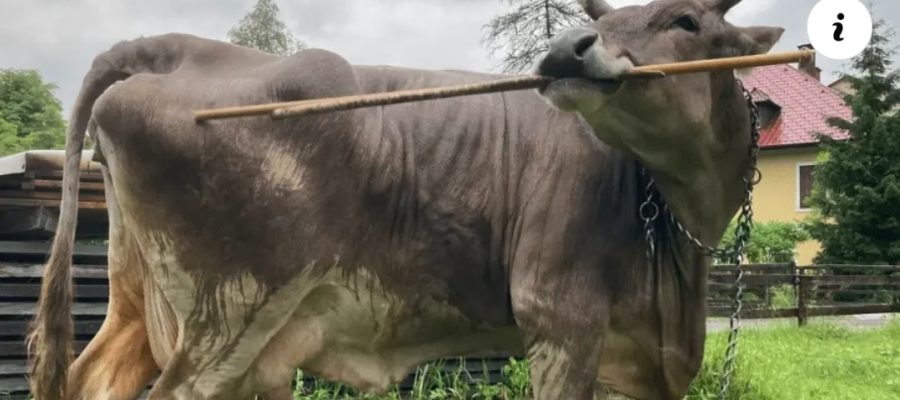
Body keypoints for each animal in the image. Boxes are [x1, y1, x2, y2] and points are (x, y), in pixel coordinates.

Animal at [28, 0, 783, 399]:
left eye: (685, 20)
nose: (568, 46)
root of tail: (172, 45)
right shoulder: (560, 320)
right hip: (229, 317)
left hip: (144, 299)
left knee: (93, 374)